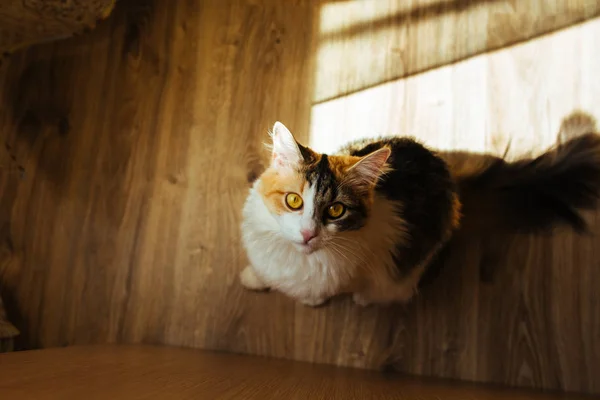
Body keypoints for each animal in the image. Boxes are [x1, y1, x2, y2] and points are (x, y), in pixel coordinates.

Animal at [241, 119, 600, 306]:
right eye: (293, 202)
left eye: (336, 210)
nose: (307, 234)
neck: (295, 258)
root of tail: (455, 187)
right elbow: (264, 273)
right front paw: (253, 278)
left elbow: (318, 293)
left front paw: (312, 302)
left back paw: (364, 299)